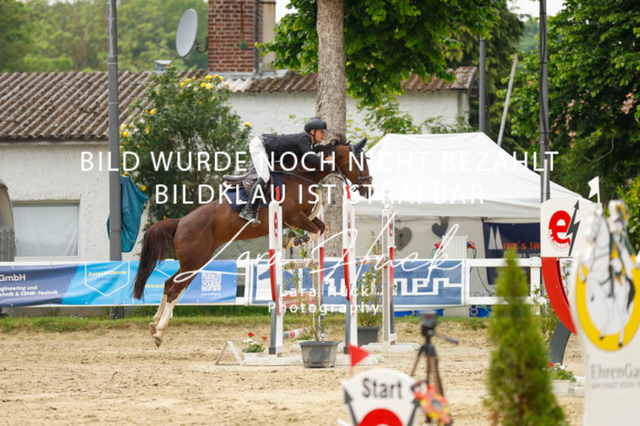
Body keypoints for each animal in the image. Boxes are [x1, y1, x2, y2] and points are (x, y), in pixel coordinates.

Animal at [132, 136, 373, 347]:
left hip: (193, 262)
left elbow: (320, 228)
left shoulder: (302, 217)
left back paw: (154, 324)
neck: (300, 176)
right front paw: (293, 240)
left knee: (169, 284)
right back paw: (159, 333)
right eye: (359, 162)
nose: (369, 189)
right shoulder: (294, 216)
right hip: (195, 260)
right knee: (174, 288)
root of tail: (180, 222)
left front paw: (291, 239)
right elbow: (312, 230)